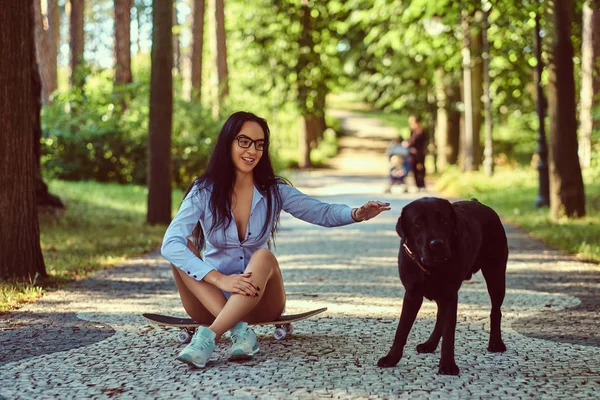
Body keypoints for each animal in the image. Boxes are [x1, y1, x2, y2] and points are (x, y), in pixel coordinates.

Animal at [378, 197, 508, 376]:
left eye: (443, 220)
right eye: (418, 222)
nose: (436, 244)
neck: (432, 267)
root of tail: (478, 202)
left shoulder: (450, 294)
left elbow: (449, 334)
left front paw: (447, 365)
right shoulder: (412, 294)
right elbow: (402, 330)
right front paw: (391, 358)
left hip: (496, 275)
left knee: (496, 311)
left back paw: (496, 342)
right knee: (441, 317)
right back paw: (430, 344)